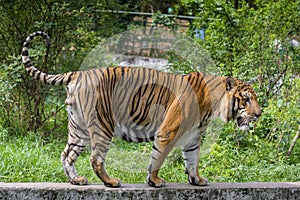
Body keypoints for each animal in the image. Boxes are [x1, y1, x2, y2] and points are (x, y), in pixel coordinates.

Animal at [21, 30, 260, 188]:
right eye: (246, 100)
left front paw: (196, 180)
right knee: (95, 158)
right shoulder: (167, 132)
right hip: (102, 124)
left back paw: (76, 180)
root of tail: (78, 73)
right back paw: (111, 182)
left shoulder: (193, 137)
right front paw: (154, 181)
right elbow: (158, 158)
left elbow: (192, 160)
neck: (213, 105)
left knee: (66, 154)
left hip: (78, 128)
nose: (258, 114)